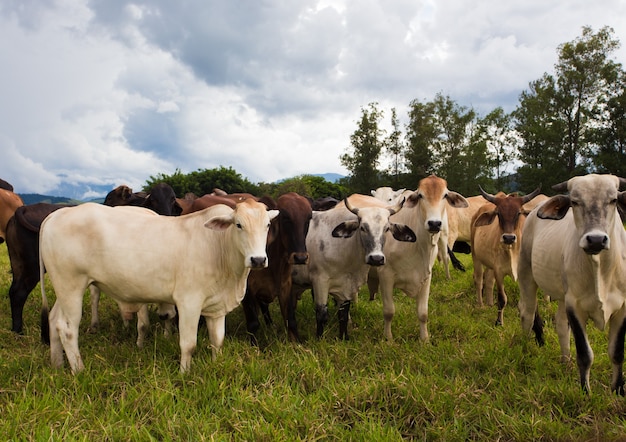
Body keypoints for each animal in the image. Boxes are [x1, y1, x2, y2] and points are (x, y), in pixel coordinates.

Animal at [37, 200, 274, 372]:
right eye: (239, 224)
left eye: (267, 225)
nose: (258, 259)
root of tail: (57, 214)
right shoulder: (189, 302)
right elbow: (188, 344)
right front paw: (184, 374)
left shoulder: (216, 308)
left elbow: (218, 340)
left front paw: (217, 365)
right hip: (71, 285)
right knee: (67, 329)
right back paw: (79, 370)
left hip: (64, 288)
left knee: (54, 321)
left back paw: (56, 365)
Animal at [292, 193, 416, 338]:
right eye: (362, 227)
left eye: (386, 229)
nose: (376, 258)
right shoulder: (319, 281)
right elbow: (321, 315)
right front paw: (319, 338)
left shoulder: (346, 285)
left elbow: (343, 314)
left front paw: (344, 337)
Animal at [370, 175, 464, 342]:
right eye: (420, 195)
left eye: (445, 195)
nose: (434, 223)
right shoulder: (385, 275)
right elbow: (389, 311)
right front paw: (388, 339)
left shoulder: (426, 276)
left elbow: (423, 313)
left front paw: (425, 339)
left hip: (444, 236)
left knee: (446, 257)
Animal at [516, 174, 624, 394]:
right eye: (575, 201)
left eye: (613, 200)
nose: (596, 240)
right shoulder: (575, 305)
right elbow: (585, 353)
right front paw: (585, 392)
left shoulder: (623, 308)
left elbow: (617, 352)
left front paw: (618, 390)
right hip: (526, 273)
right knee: (527, 312)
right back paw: (525, 346)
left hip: (561, 294)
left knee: (560, 324)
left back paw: (565, 362)